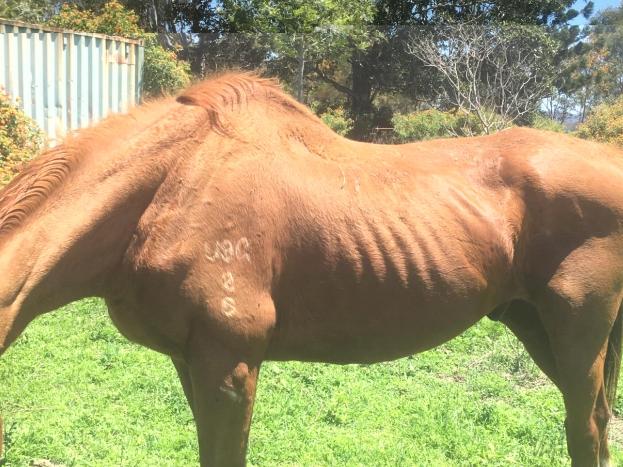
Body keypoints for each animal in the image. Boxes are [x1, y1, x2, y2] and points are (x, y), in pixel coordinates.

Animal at [1, 75, 623, 466]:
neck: (173, 186)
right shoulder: (191, 359)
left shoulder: (230, 365)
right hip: (534, 323)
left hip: (577, 330)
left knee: (585, 431)